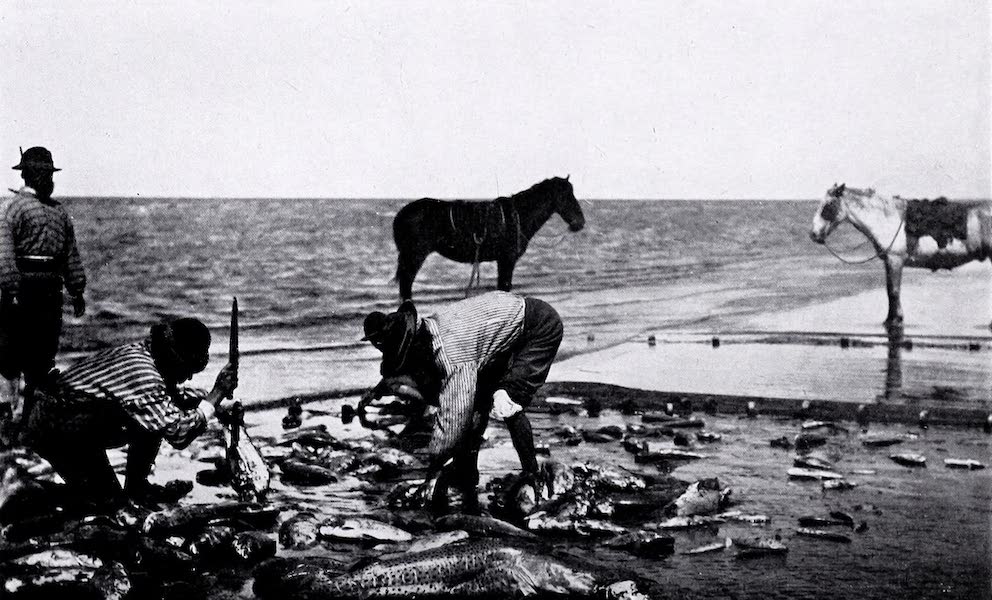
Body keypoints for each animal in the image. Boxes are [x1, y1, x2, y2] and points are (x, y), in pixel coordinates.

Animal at [392, 177, 584, 300]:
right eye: (566, 196)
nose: (580, 222)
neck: (518, 216)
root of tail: (402, 214)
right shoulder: (507, 259)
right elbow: (504, 286)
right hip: (414, 256)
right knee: (406, 286)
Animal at [808, 183, 988, 328]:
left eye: (828, 206)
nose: (813, 235)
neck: (886, 220)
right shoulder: (889, 261)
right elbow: (891, 291)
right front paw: (892, 318)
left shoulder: (895, 260)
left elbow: (893, 291)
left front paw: (894, 320)